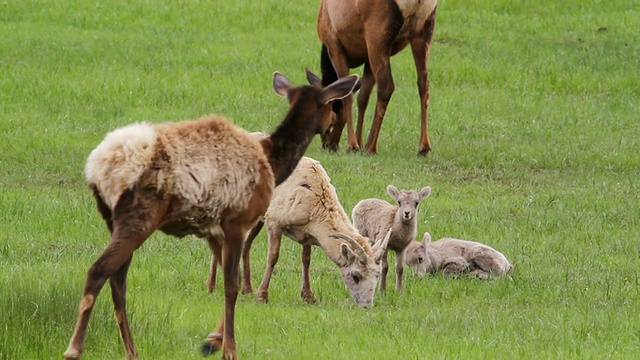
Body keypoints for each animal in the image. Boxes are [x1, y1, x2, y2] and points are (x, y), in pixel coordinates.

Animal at [63, 68, 360, 360]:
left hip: (112, 220)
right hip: (138, 218)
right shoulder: (237, 221)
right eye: (331, 106)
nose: (331, 129)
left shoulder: (215, 228)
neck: (272, 164)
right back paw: (74, 349)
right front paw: (229, 348)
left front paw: (213, 341)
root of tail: (98, 167)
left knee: (118, 282)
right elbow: (231, 286)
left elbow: (230, 280)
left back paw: (132, 352)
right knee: (98, 271)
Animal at [208, 156, 392, 308]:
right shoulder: (275, 222)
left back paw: (246, 289)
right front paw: (262, 297)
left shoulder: (307, 234)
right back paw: (211, 286)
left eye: (377, 274)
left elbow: (306, 260)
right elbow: (273, 257)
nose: (367, 306)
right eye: (355, 276)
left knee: (246, 243)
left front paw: (309, 296)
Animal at [318, 0, 438, 155]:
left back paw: (371, 146)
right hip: (424, 32)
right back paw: (424, 146)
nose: (328, 145)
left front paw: (353, 145)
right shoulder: (367, 60)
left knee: (386, 86)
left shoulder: (334, 45)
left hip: (377, 34)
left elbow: (348, 97)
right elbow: (362, 98)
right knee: (424, 84)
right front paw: (359, 141)